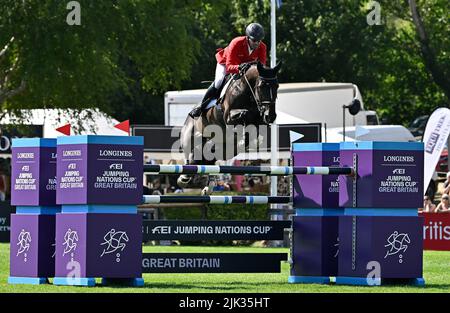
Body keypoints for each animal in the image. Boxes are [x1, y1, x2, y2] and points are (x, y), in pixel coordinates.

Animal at [177, 60, 280, 188]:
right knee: (190, 159)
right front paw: (242, 137)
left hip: (224, 152)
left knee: (205, 159)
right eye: (261, 86)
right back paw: (184, 178)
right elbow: (244, 114)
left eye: (277, 86)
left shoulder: (259, 121)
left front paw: (246, 140)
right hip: (189, 139)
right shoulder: (228, 118)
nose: (271, 116)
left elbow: (256, 129)